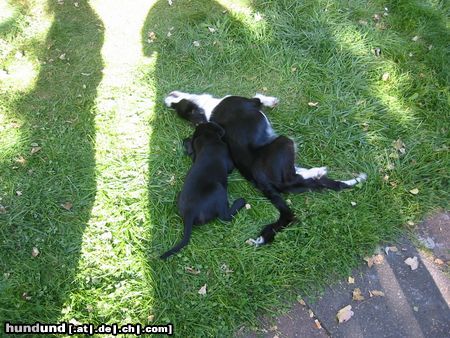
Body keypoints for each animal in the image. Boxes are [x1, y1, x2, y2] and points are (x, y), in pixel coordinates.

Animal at [160, 123, 246, 260]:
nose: (186, 139)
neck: (209, 142)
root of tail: (189, 214)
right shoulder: (229, 165)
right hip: (218, 188)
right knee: (225, 216)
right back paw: (240, 202)